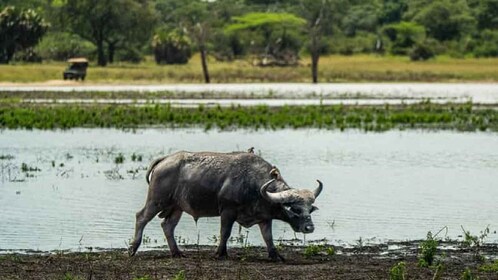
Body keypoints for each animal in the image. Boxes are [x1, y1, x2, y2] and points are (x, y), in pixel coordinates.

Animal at [128, 151, 322, 260]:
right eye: (295, 209)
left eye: (309, 209)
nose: (309, 227)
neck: (254, 185)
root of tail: (165, 159)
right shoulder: (228, 212)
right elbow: (225, 233)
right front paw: (220, 253)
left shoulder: (264, 217)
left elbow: (268, 237)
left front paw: (275, 255)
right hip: (156, 200)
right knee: (141, 217)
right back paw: (133, 249)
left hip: (177, 207)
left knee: (167, 225)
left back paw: (177, 253)